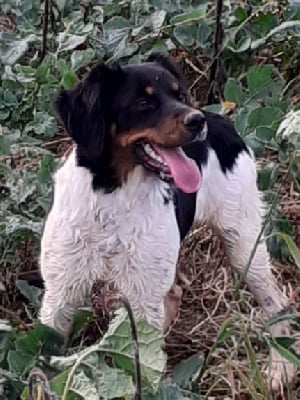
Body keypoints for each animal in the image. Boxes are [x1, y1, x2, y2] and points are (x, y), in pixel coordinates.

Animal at [39, 54, 296, 390]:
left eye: (180, 95)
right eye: (143, 103)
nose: (196, 121)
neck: (113, 194)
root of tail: (221, 120)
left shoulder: (141, 293)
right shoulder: (60, 291)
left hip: (244, 246)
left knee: (275, 305)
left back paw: (281, 368)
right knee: (174, 293)